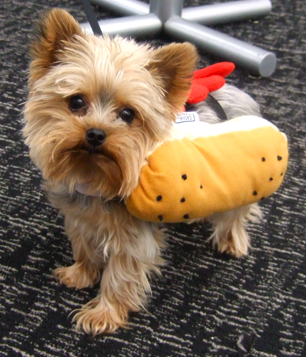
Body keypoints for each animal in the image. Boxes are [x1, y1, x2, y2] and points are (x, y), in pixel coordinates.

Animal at [23, 9, 262, 334]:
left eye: (127, 114)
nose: (95, 133)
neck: (95, 177)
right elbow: (83, 246)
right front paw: (80, 273)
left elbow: (119, 275)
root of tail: (240, 95)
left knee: (235, 212)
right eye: (76, 101)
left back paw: (231, 240)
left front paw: (104, 314)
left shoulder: (132, 239)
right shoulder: (79, 216)